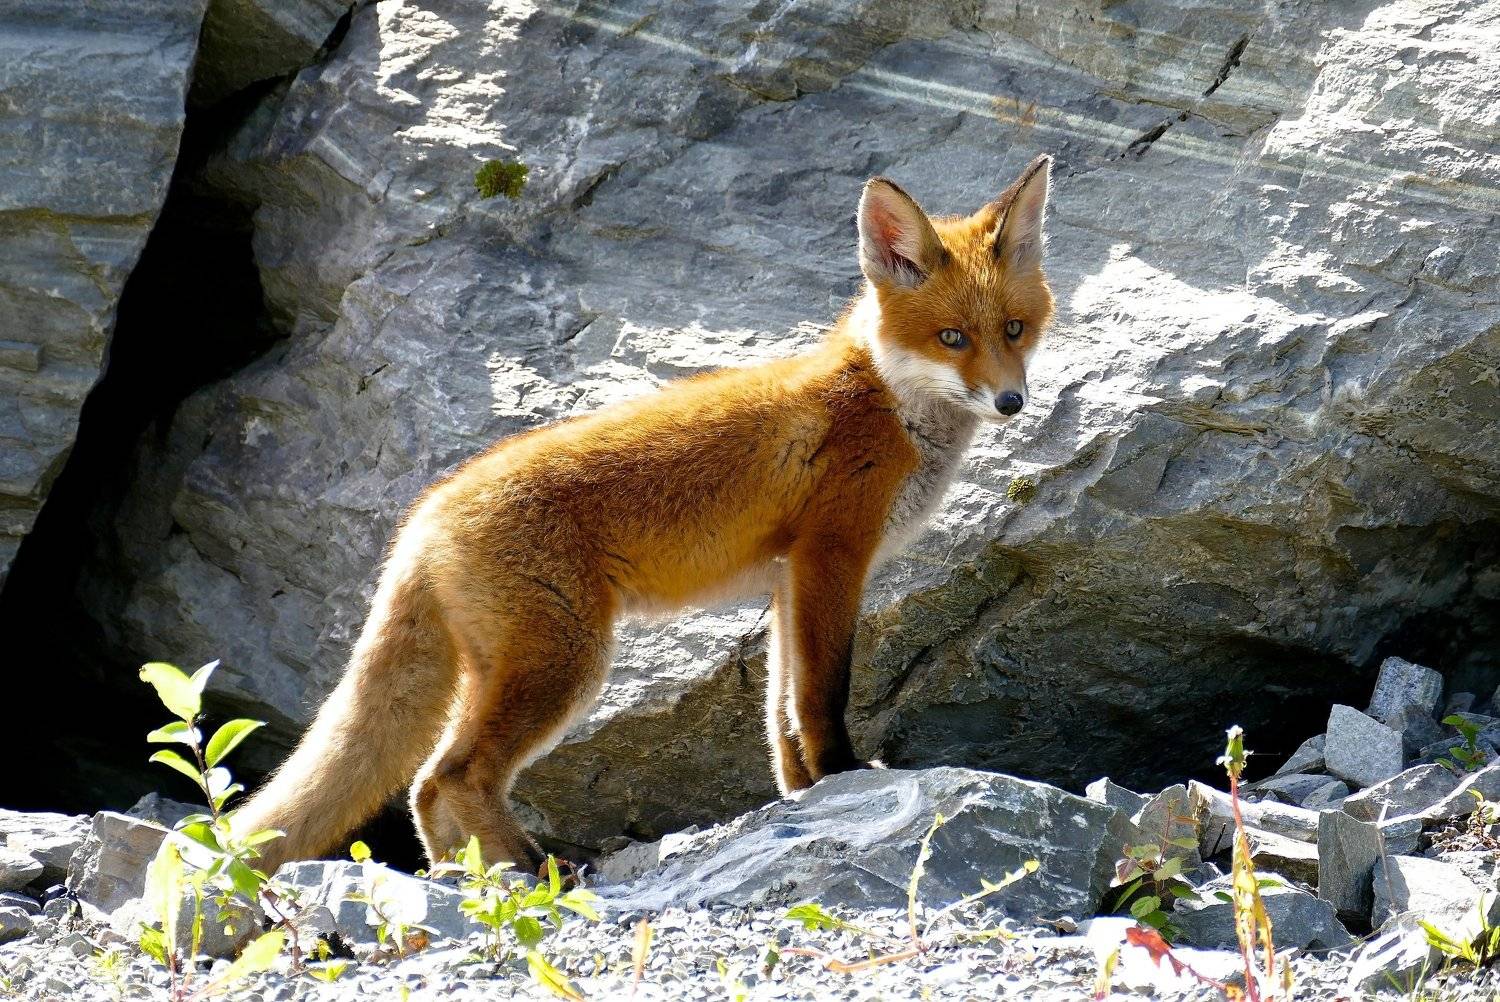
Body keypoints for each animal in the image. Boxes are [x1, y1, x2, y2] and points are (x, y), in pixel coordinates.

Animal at [232, 154, 1057, 874]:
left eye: (1014, 329)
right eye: (952, 338)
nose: (1012, 402)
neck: (887, 401)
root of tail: (423, 515)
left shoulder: (787, 577)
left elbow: (779, 713)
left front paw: (803, 793)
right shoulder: (833, 555)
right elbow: (820, 697)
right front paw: (844, 778)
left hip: (511, 670)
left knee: (425, 788)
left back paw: (465, 880)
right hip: (565, 664)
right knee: (452, 777)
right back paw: (534, 869)